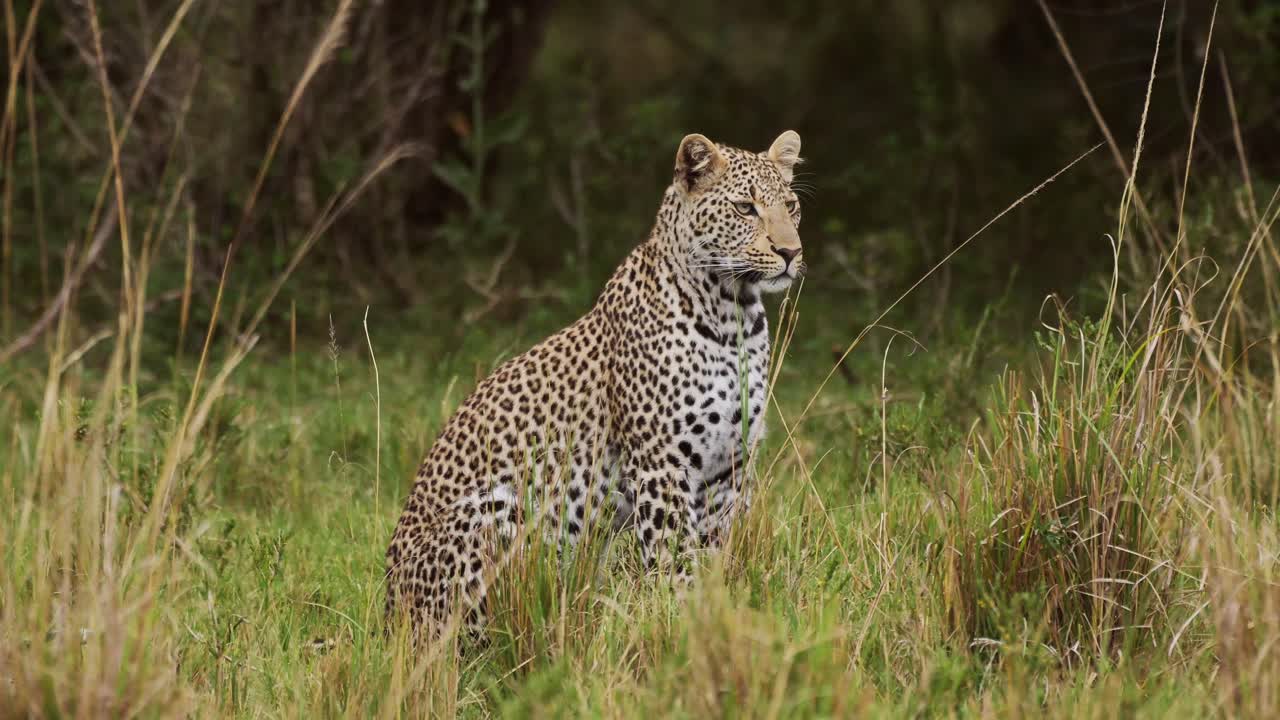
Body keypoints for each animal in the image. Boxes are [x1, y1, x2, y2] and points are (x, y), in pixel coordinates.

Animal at [384, 130, 806, 640]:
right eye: (745, 208)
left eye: (791, 205)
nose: (791, 253)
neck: (732, 318)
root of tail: (386, 614)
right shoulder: (660, 466)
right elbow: (673, 560)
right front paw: (681, 625)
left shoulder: (729, 468)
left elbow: (713, 557)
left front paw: (713, 617)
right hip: (497, 509)